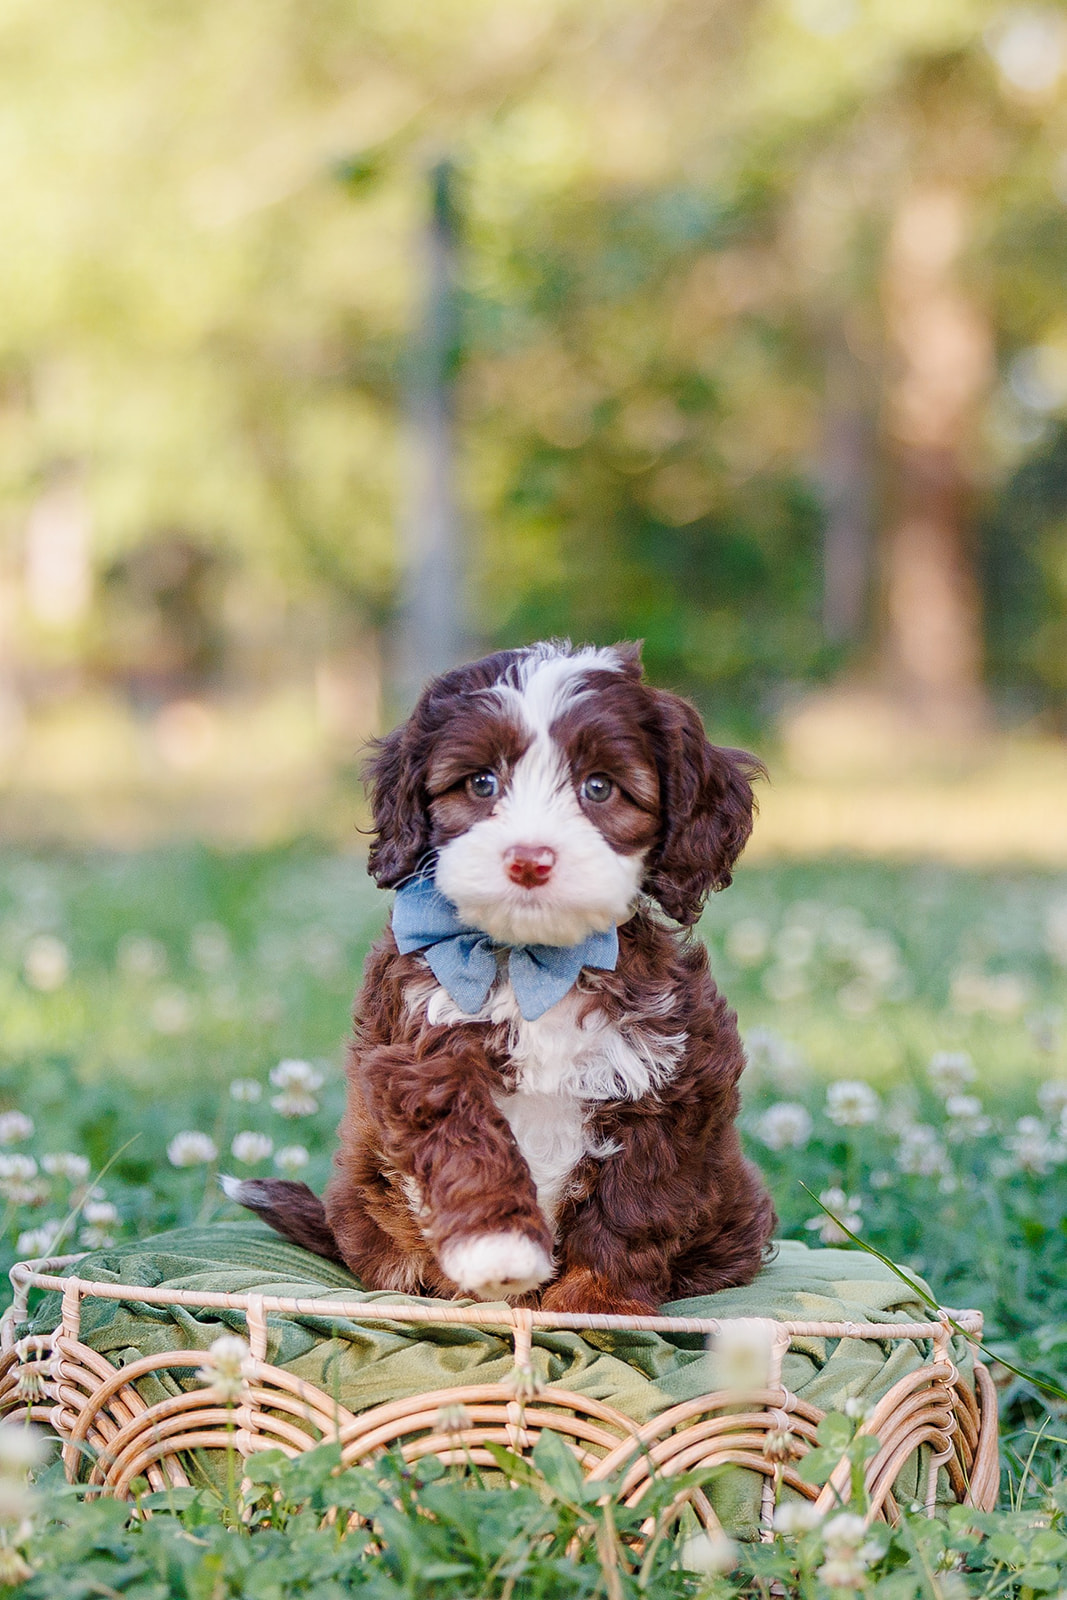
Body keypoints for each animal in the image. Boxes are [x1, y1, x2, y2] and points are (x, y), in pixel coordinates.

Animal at [225, 636, 777, 1312]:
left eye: (599, 788)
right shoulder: (423, 1052)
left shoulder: (676, 1078)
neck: (538, 962)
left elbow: (634, 1201)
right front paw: (500, 1252)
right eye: (482, 783)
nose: (529, 860)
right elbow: (469, 1149)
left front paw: (595, 1302)